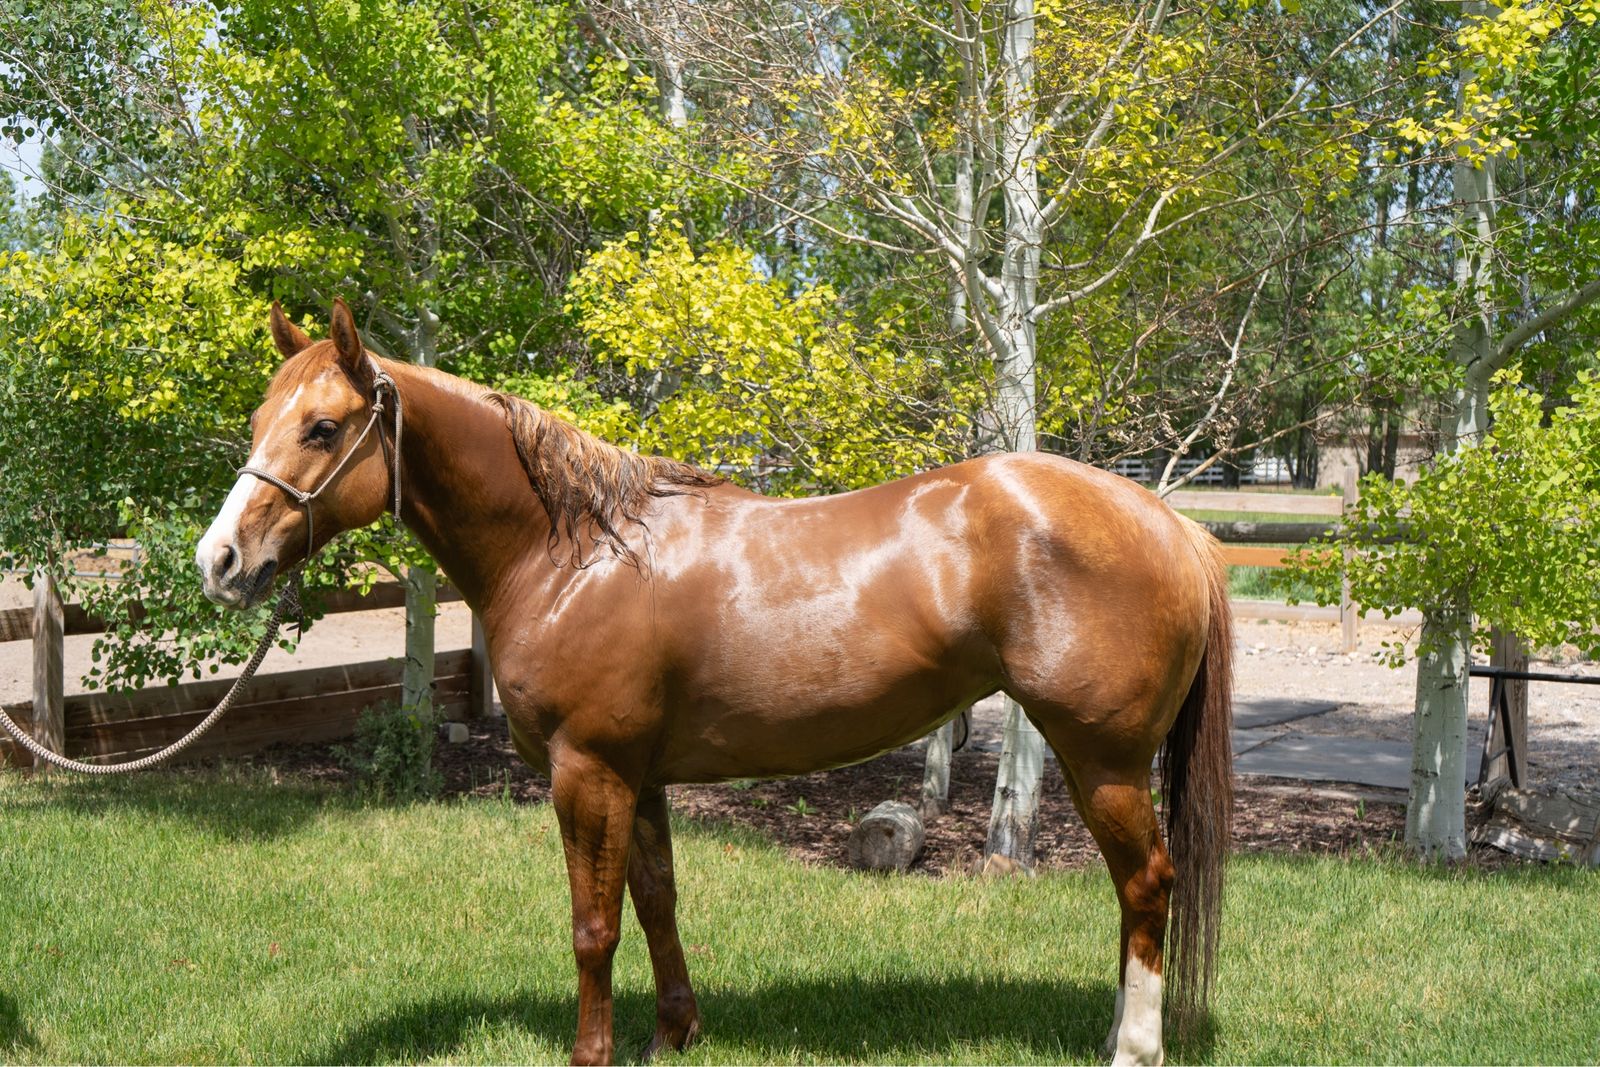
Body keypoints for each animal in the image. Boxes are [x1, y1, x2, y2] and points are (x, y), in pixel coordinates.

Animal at [195, 300, 1233, 1066]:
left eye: (322, 427)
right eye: (259, 422)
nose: (220, 560)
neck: (574, 554)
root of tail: (1169, 522)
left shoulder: (588, 772)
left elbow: (593, 926)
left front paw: (594, 1053)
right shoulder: (638, 775)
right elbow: (656, 900)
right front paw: (673, 1033)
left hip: (1102, 759)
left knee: (1146, 882)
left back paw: (1131, 1048)